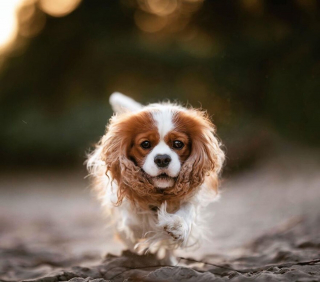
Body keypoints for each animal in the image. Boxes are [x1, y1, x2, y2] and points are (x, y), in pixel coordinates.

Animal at [86, 93, 224, 260]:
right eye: (145, 144)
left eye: (178, 144)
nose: (162, 159)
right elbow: (135, 224)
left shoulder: (191, 196)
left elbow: (187, 210)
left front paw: (177, 225)